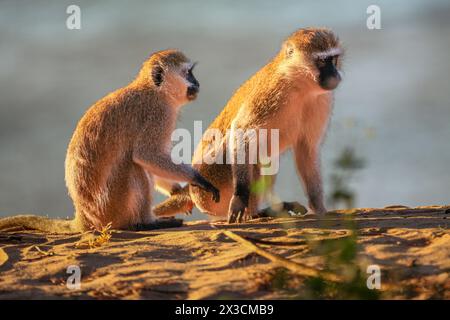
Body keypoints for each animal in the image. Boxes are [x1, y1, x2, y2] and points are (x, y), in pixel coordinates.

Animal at [0, 48, 220, 232]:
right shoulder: (158, 115)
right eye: (188, 73)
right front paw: (197, 179)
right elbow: (146, 156)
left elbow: (153, 161)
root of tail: (83, 216)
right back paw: (144, 223)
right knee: (133, 167)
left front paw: (175, 190)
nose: (198, 83)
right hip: (111, 207)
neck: (155, 90)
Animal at [153, 27, 342, 222]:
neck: (299, 85)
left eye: (334, 59)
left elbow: (306, 149)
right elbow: (242, 131)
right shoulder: (271, 94)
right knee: (252, 153)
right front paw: (240, 196)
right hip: (211, 183)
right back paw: (256, 212)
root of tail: (192, 188)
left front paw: (318, 207)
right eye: (322, 61)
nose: (336, 74)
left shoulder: (322, 100)